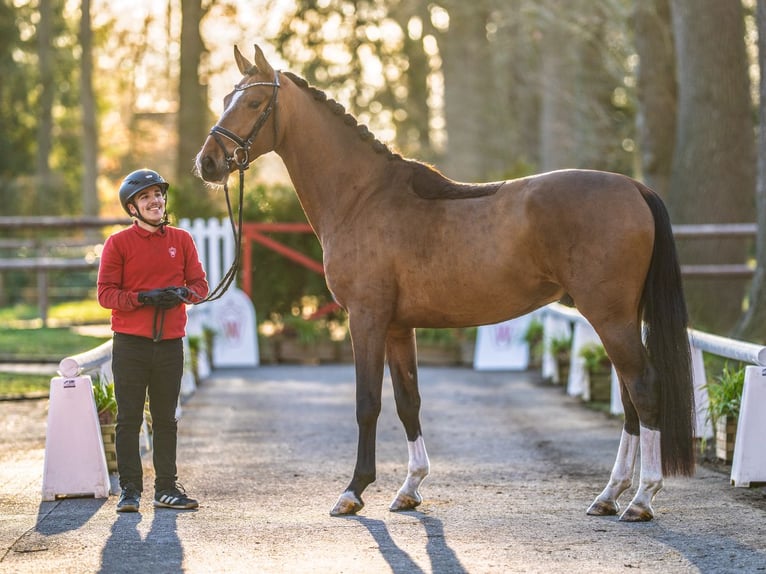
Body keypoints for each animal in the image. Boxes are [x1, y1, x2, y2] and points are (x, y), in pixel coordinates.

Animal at [195, 44, 695, 522]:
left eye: (254, 101)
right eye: (223, 100)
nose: (208, 163)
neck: (362, 196)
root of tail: (634, 188)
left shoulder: (366, 319)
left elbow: (367, 403)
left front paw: (354, 491)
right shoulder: (399, 327)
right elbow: (407, 400)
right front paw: (410, 488)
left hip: (609, 316)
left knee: (644, 388)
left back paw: (641, 499)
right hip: (616, 317)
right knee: (629, 397)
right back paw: (610, 495)